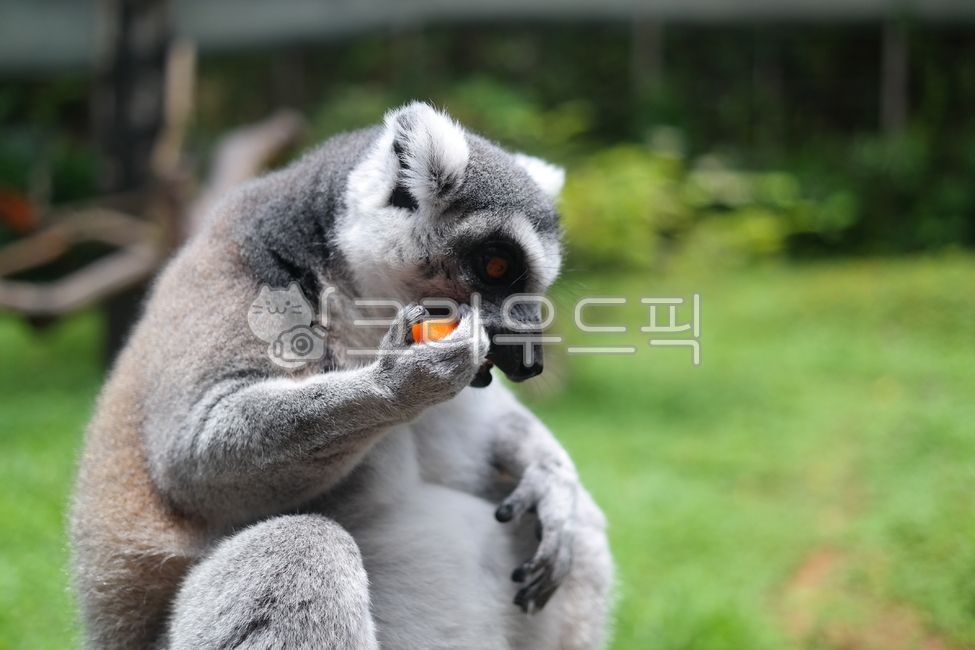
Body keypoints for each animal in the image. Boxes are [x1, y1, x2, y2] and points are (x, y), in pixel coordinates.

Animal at [70, 102, 614, 649]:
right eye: (497, 265)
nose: (530, 363)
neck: (361, 309)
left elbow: (496, 425)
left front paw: (548, 470)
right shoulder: (243, 279)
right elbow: (193, 463)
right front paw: (402, 383)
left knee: (584, 529)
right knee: (297, 548)